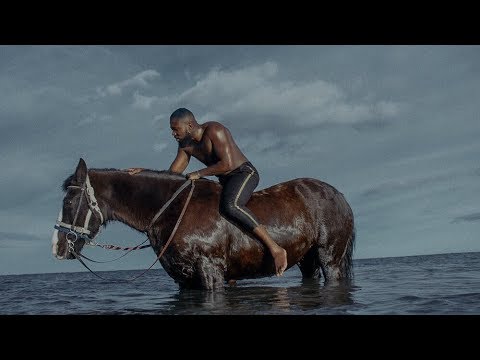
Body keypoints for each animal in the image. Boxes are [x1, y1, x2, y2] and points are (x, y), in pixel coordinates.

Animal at [52, 158, 354, 290]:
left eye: (70, 201)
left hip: (331, 259)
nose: (58, 247)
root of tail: (338, 195)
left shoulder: (210, 270)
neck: (173, 210)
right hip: (308, 261)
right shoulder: (184, 280)